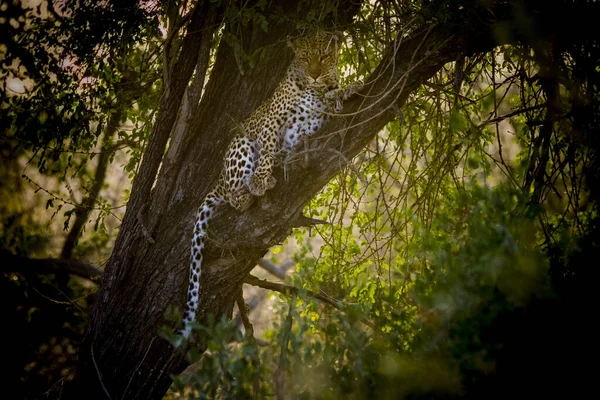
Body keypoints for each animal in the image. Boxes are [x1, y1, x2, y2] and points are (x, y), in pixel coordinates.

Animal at [176, 30, 358, 340]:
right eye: (305, 58)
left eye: (324, 57)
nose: (314, 75)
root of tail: (218, 182)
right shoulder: (274, 118)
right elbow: (270, 144)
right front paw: (261, 179)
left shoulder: (324, 114)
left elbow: (332, 98)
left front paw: (349, 88)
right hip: (240, 143)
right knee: (235, 194)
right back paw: (248, 192)